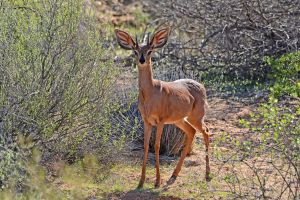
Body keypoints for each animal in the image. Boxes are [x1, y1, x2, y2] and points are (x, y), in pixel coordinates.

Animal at [115, 26, 211, 188]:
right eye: (135, 50)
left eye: (150, 50)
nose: (142, 60)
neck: (149, 94)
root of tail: (201, 86)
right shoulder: (147, 121)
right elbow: (147, 146)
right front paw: (141, 181)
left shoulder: (160, 121)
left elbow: (158, 146)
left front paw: (157, 181)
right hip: (180, 120)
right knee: (191, 132)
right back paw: (173, 176)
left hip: (196, 117)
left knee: (206, 131)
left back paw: (207, 175)